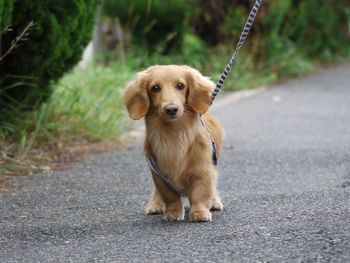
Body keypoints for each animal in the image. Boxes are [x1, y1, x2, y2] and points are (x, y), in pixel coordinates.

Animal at [124, 65, 226, 222]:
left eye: (180, 85)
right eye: (155, 88)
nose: (171, 109)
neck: (174, 135)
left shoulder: (203, 171)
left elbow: (200, 194)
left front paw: (200, 213)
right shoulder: (160, 176)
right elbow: (170, 197)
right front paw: (173, 213)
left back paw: (214, 202)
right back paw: (155, 205)